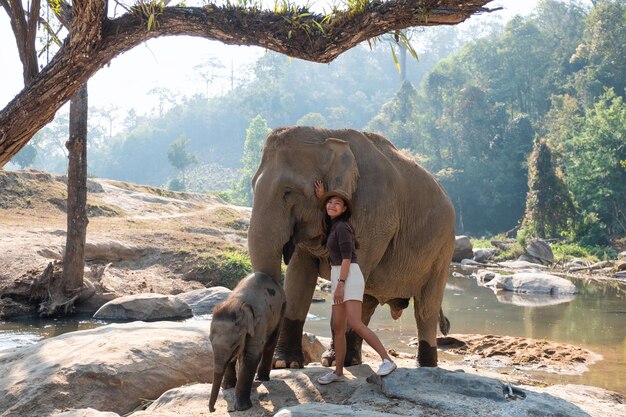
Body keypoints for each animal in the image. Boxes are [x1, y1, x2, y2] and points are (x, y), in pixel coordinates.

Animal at [207, 272, 286, 412]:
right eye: (210, 340)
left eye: (235, 345)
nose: (213, 409)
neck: (237, 303)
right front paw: (227, 386)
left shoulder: (259, 322)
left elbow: (250, 355)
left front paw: (242, 408)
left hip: (281, 310)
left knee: (270, 343)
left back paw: (262, 378)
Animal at [246, 127, 456, 368]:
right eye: (252, 186)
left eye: (288, 192)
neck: (327, 135)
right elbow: (299, 277)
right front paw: (285, 364)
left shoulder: (374, 217)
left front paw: (317, 362)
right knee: (367, 301)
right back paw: (349, 360)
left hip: (443, 249)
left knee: (426, 307)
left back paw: (426, 365)